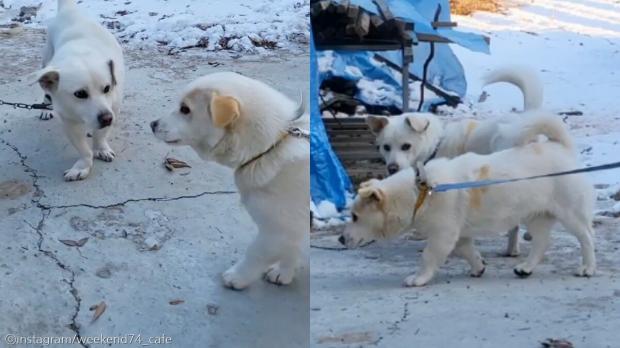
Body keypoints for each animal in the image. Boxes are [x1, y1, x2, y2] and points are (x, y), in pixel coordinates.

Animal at [31, 1, 124, 182]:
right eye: (80, 94)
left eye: (107, 88)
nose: (107, 119)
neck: (81, 53)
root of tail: (69, 9)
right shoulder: (68, 121)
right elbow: (83, 149)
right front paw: (83, 166)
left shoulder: (113, 108)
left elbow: (101, 135)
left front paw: (101, 148)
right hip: (46, 62)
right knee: (46, 90)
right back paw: (45, 108)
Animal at [151, 72, 310, 290]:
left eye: (185, 109)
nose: (152, 124)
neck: (272, 144)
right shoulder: (293, 228)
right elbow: (292, 250)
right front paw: (283, 272)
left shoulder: (278, 230)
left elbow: (255, 253)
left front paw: (238, 277)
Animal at [344, 115, 596, 286]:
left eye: (355, 217)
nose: (340, 239)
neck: (422, 191)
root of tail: (561, 147)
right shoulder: (458, 235)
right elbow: (467, 251)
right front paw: (478, 267)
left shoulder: (442, 235)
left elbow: (429, 256)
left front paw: (418, 278)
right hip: (535, 216)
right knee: (542, 242)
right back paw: (525, 268)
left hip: (571, 213)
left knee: (586, 237)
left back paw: (587, 268)